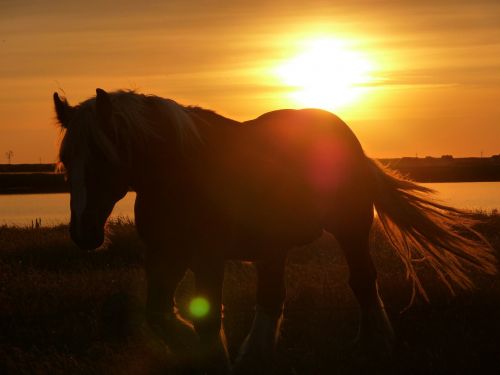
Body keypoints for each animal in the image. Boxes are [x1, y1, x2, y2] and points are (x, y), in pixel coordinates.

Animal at [52, 89, 494, 375]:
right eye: (66, 160)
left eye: (103, 156)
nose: (84, 233)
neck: (183, 173)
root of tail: (345, 134)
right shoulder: (166, 255)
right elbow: (159, 314)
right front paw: (197, 350)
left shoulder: (208, 257)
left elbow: (207, 317)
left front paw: (212, 357)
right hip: (273, 248)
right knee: (272, 297)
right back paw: (256, 355)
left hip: (350, 229)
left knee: (363, 281)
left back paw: (376, 344)